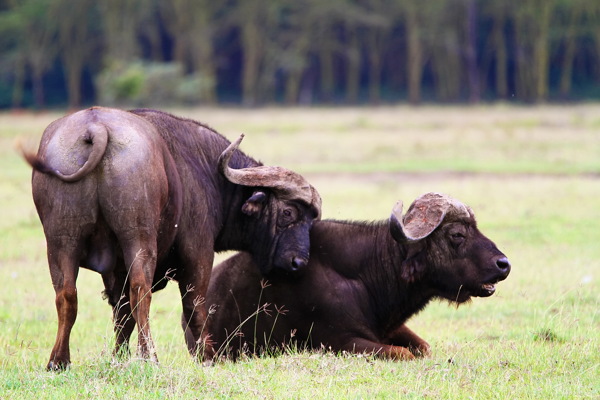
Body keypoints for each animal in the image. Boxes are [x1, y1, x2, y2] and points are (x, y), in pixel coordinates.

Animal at [22, 106, 324, 368]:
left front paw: (118, 357)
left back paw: (59, 361)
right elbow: (195, 307)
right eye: (288, 212)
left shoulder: (114, 270)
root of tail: (96, 127)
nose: (299, 262)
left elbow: (121, 315)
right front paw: (208, 357)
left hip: (61, 240)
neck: (205, 171)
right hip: (138, 237)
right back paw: (150, 357)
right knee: (141, 292)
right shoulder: (199, 254)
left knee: (67, 295)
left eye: (311, 219)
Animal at [207, 192, 510, 360]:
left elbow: (424, 347)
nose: (503, 264)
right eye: (457, 234)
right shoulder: (341, 341)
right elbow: (404, 353)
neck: (365, 274)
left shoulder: (389, 328)